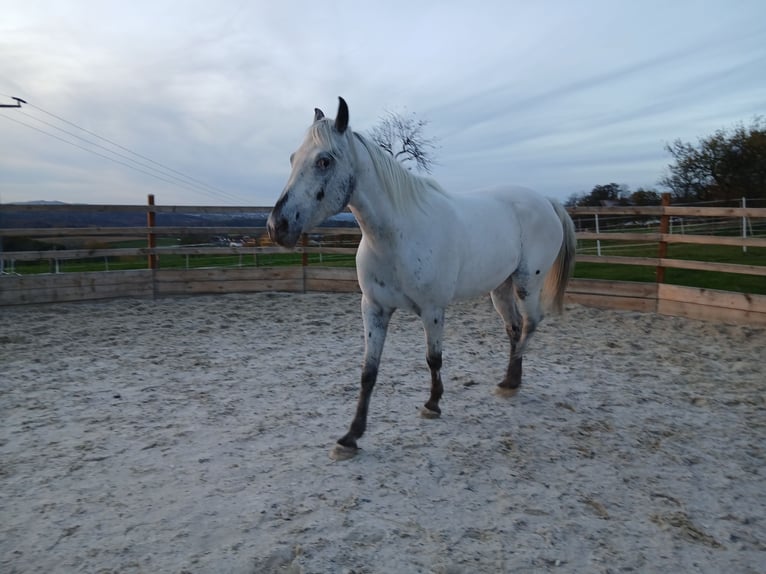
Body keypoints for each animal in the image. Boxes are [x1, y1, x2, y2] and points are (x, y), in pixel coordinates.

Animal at [267, 97, 576, 460]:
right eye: (292, 158)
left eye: (324, 161)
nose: (277, 226)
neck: (396, 236)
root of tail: (546, 201)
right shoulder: (373, 309)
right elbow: (368, 372)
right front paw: (350, 436)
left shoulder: (432, 310)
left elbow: (433, 358)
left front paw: (432, 404)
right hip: (500, 288)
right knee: (514, 328)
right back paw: (510, 381)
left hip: (527, 283)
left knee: (531, 324)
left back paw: (511, 381)